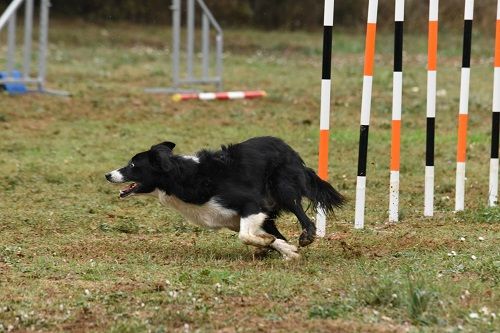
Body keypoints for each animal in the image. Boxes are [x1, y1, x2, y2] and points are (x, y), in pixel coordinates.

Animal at [105, 136, 344, 258]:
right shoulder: (233, 219)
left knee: (303, 216)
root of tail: (286, 146)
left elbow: (246, 236)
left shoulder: (253, 204)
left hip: (283, 187)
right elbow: (272, 238)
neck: (182, 177)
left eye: (133, 165)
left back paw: (307, 236)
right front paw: (286, 250)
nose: (108, 175)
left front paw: (272, 244)